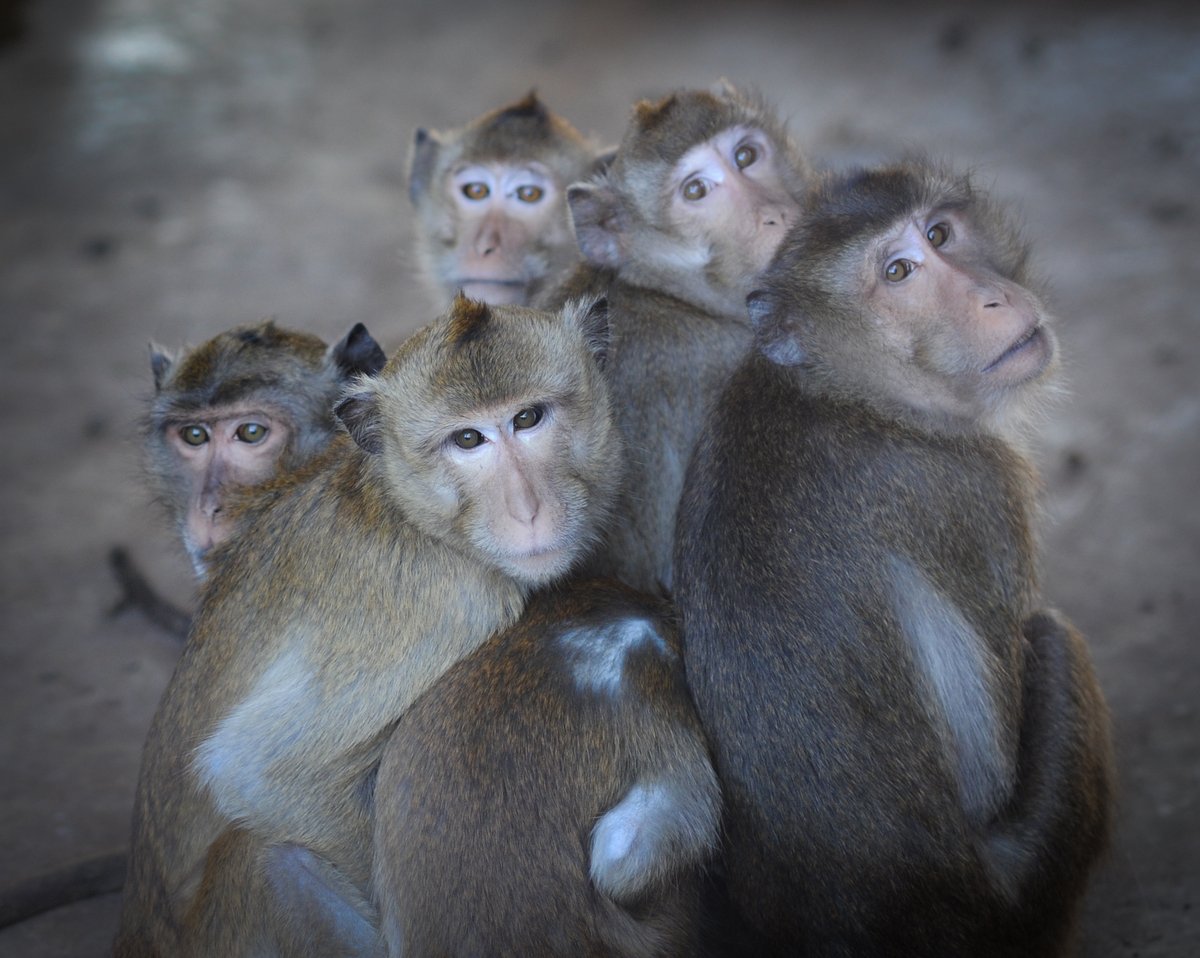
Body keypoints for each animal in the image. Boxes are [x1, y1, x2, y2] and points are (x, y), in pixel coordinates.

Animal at [113, 294, 622, 956]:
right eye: (468, 439)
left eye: (529, 418)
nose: (528, 509)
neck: (409, 511)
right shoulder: (446, 603)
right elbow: (259, 771)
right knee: (271, 861)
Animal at [673, 160, 1115, 956]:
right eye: (899, 272)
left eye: (939, 233)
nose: (992, 295)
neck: (844, 393)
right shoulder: (975, 487)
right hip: (1027, 898)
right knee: (1057, 638)